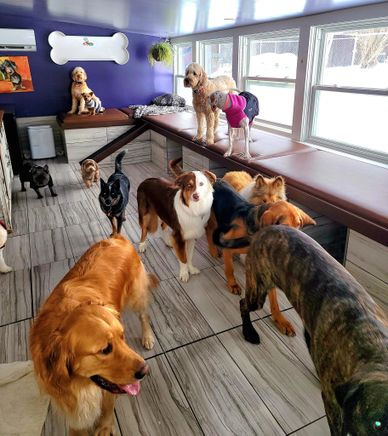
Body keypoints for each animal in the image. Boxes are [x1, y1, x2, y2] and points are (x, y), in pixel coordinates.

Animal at [29, 237, 158, 434]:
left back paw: (148, 337)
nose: (146, 370)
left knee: (144, 315)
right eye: (105, 349)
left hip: (137, 295)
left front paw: (104, 428)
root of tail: (116, 237)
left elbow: (107, 409)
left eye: (122, 336)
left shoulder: (108, 388)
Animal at [242, 227, 388, 436]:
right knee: (243, 304)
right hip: (258, 290)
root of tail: (266, 229)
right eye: (377, 423)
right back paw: (249, 332)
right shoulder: (333, 408)